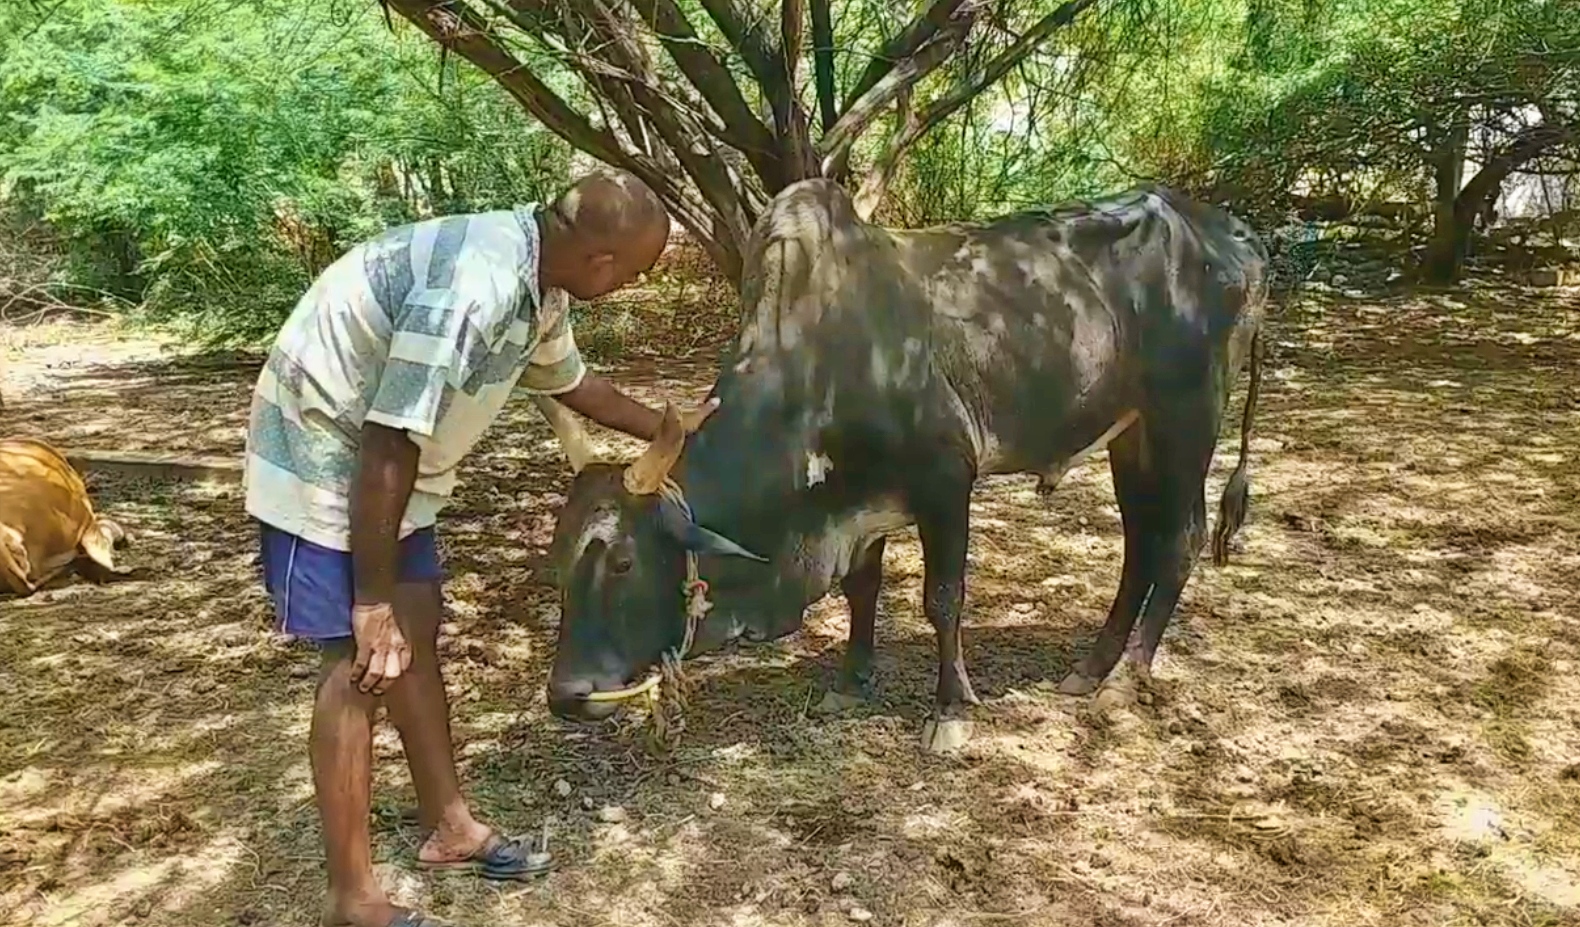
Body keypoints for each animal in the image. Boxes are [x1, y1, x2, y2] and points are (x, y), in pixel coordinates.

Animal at [534, 179, 1270, 754]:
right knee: (1140, 545)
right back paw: (1090, 666)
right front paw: (852, 681)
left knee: (1179, 541)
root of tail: (1229, 231)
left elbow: (942, 599)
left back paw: (1123, 679)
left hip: (1186, 422)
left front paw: (950, 711)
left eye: (622, 560)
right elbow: (863, 589)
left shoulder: (946, 480)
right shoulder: (858, 505)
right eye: (559, 561)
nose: (565, 694)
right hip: (1132, 436)